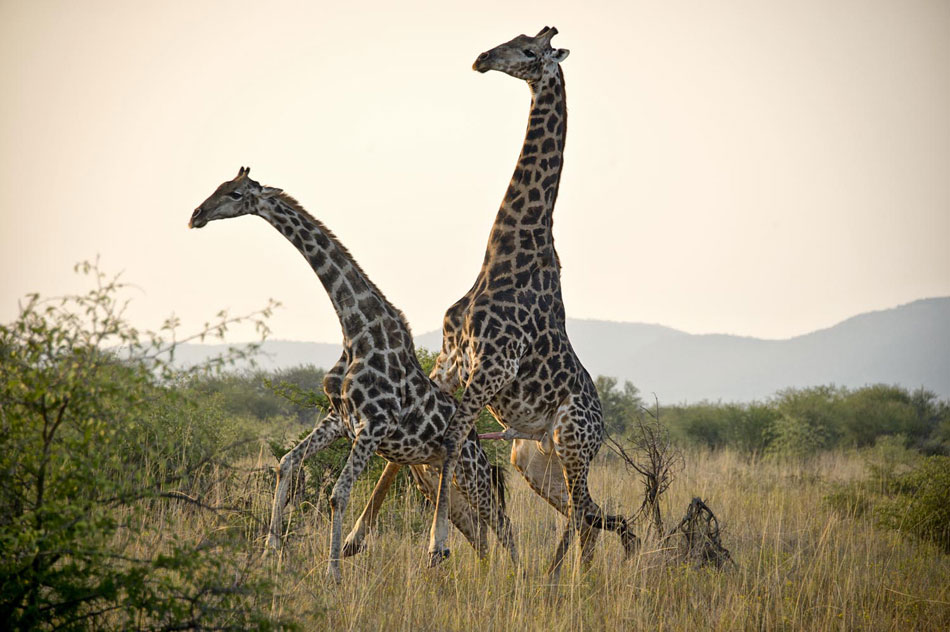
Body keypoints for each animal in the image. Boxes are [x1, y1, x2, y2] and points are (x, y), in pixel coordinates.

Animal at [189, 168, 516, 584]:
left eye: (235, 193)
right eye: (217, 186)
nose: (196, 214)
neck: (357, 330)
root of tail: (476, 438)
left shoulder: (373, 426)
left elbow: (338, 493)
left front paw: (333, 573)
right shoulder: (341, 420)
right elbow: (287, 463)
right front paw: (270, 551)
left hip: (471, 470)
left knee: (503, 525)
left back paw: (520, 578)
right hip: (436, 470)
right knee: (479, 529)